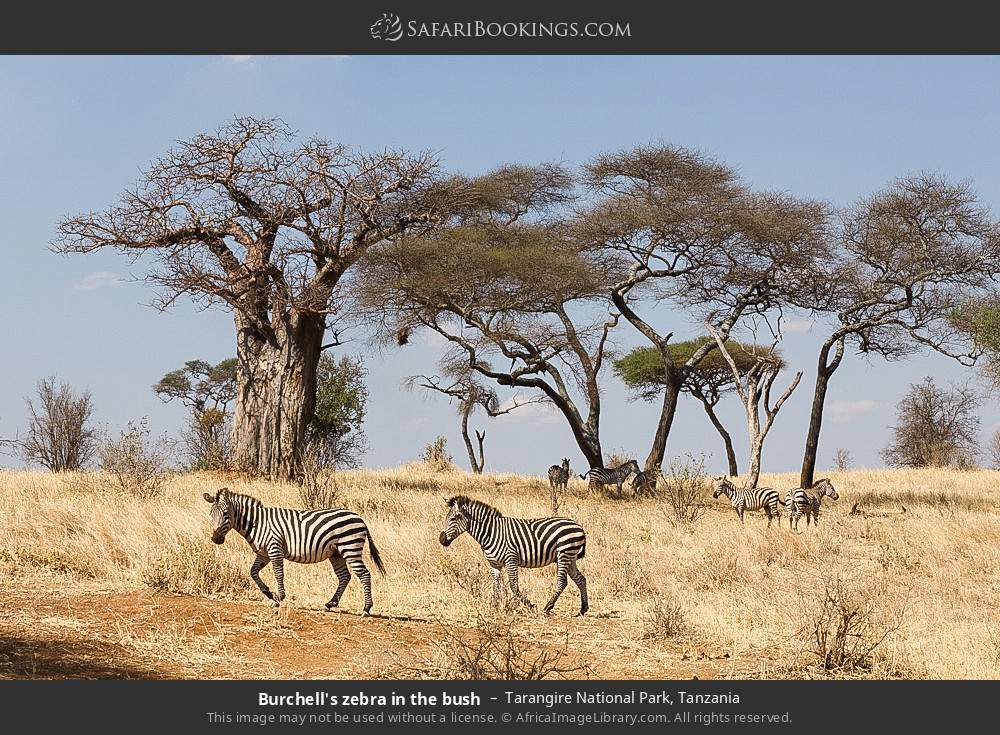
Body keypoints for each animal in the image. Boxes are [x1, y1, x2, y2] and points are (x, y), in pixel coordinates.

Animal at [203, 487, 385, 616]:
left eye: (226, 513)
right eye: (211, 514)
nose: (215, 539)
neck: (257, 523)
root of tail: (359, 518)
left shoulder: (274, 548)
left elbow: (278, 574)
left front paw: (278, 599)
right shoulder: (263, 553)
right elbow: (253, 572)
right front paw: (268, 592)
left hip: (350, 547)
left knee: (364, 574)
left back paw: (366, 609)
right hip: (336, 553)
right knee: (344, 577)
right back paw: (329, 604)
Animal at [439, 495, 588, 616]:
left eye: (453, 518)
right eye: (446, 518)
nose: (441, 540)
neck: (491, 532)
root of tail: (579, 526)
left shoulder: (511, 559)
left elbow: (513, 586)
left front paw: (530, 606)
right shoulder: (494, 564)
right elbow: (496, 585)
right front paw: (494, 606)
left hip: (564, 553)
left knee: (562, 581)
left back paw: (547, 607)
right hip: (570, 557)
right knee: (580, 579)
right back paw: (583, 609)